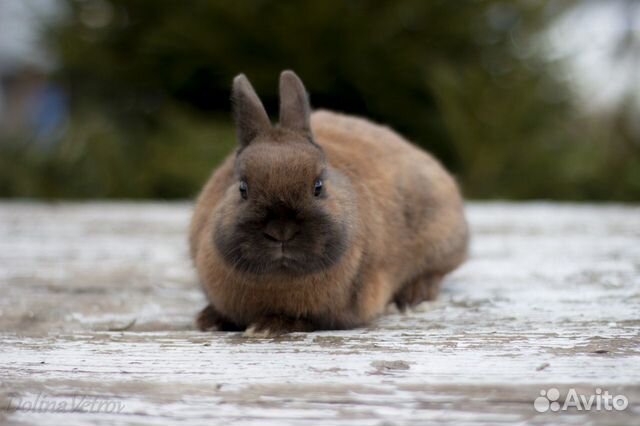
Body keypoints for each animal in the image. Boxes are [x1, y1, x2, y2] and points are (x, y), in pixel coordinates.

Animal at [188, 70, 468, 336]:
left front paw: (268, 327)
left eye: (318, 186)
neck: (279, 277)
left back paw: (411, 298)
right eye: (242, 188)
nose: (281, 231)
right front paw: (210, 320)